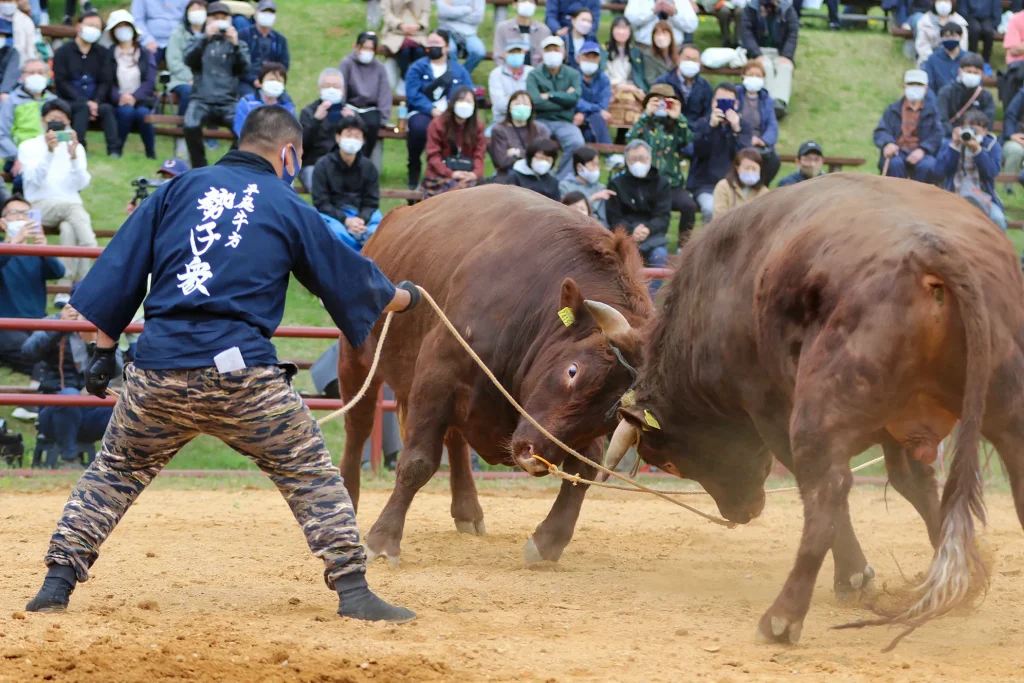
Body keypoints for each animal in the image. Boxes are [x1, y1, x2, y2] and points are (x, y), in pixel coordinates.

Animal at [339, 185, 651, 565]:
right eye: (573, 370)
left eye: (612, 414)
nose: (533, 456)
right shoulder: (437, 372)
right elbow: (417, 462)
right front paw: (382, 541)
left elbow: (583, 471)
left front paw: (548, 540)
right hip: (356, 358)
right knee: (358, 427)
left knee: (454, 440)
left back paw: (468, 511)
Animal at [598, 175, 1024, 647]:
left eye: (669, 462)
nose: (740, 514)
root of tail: (932, 247)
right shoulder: (899, 427)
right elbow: (915, 483)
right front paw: (968, 578)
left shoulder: (771, 411)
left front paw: (854, 577)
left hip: (817, 416)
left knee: (827, 491)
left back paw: (783, 618)